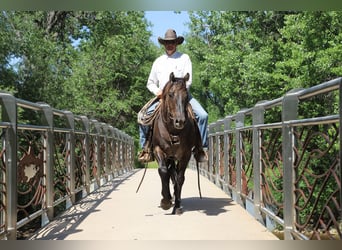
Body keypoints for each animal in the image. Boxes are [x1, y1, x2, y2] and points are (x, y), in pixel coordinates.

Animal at [151, 71, 202, 214]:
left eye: (186, 95)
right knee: (168, 173)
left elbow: (180, 178)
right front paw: (165, 201)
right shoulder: (158, 149)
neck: (173, 131)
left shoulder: (185, 154)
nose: (180, 121)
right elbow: (163, 171)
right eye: (170, 94)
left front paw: (177, 205)